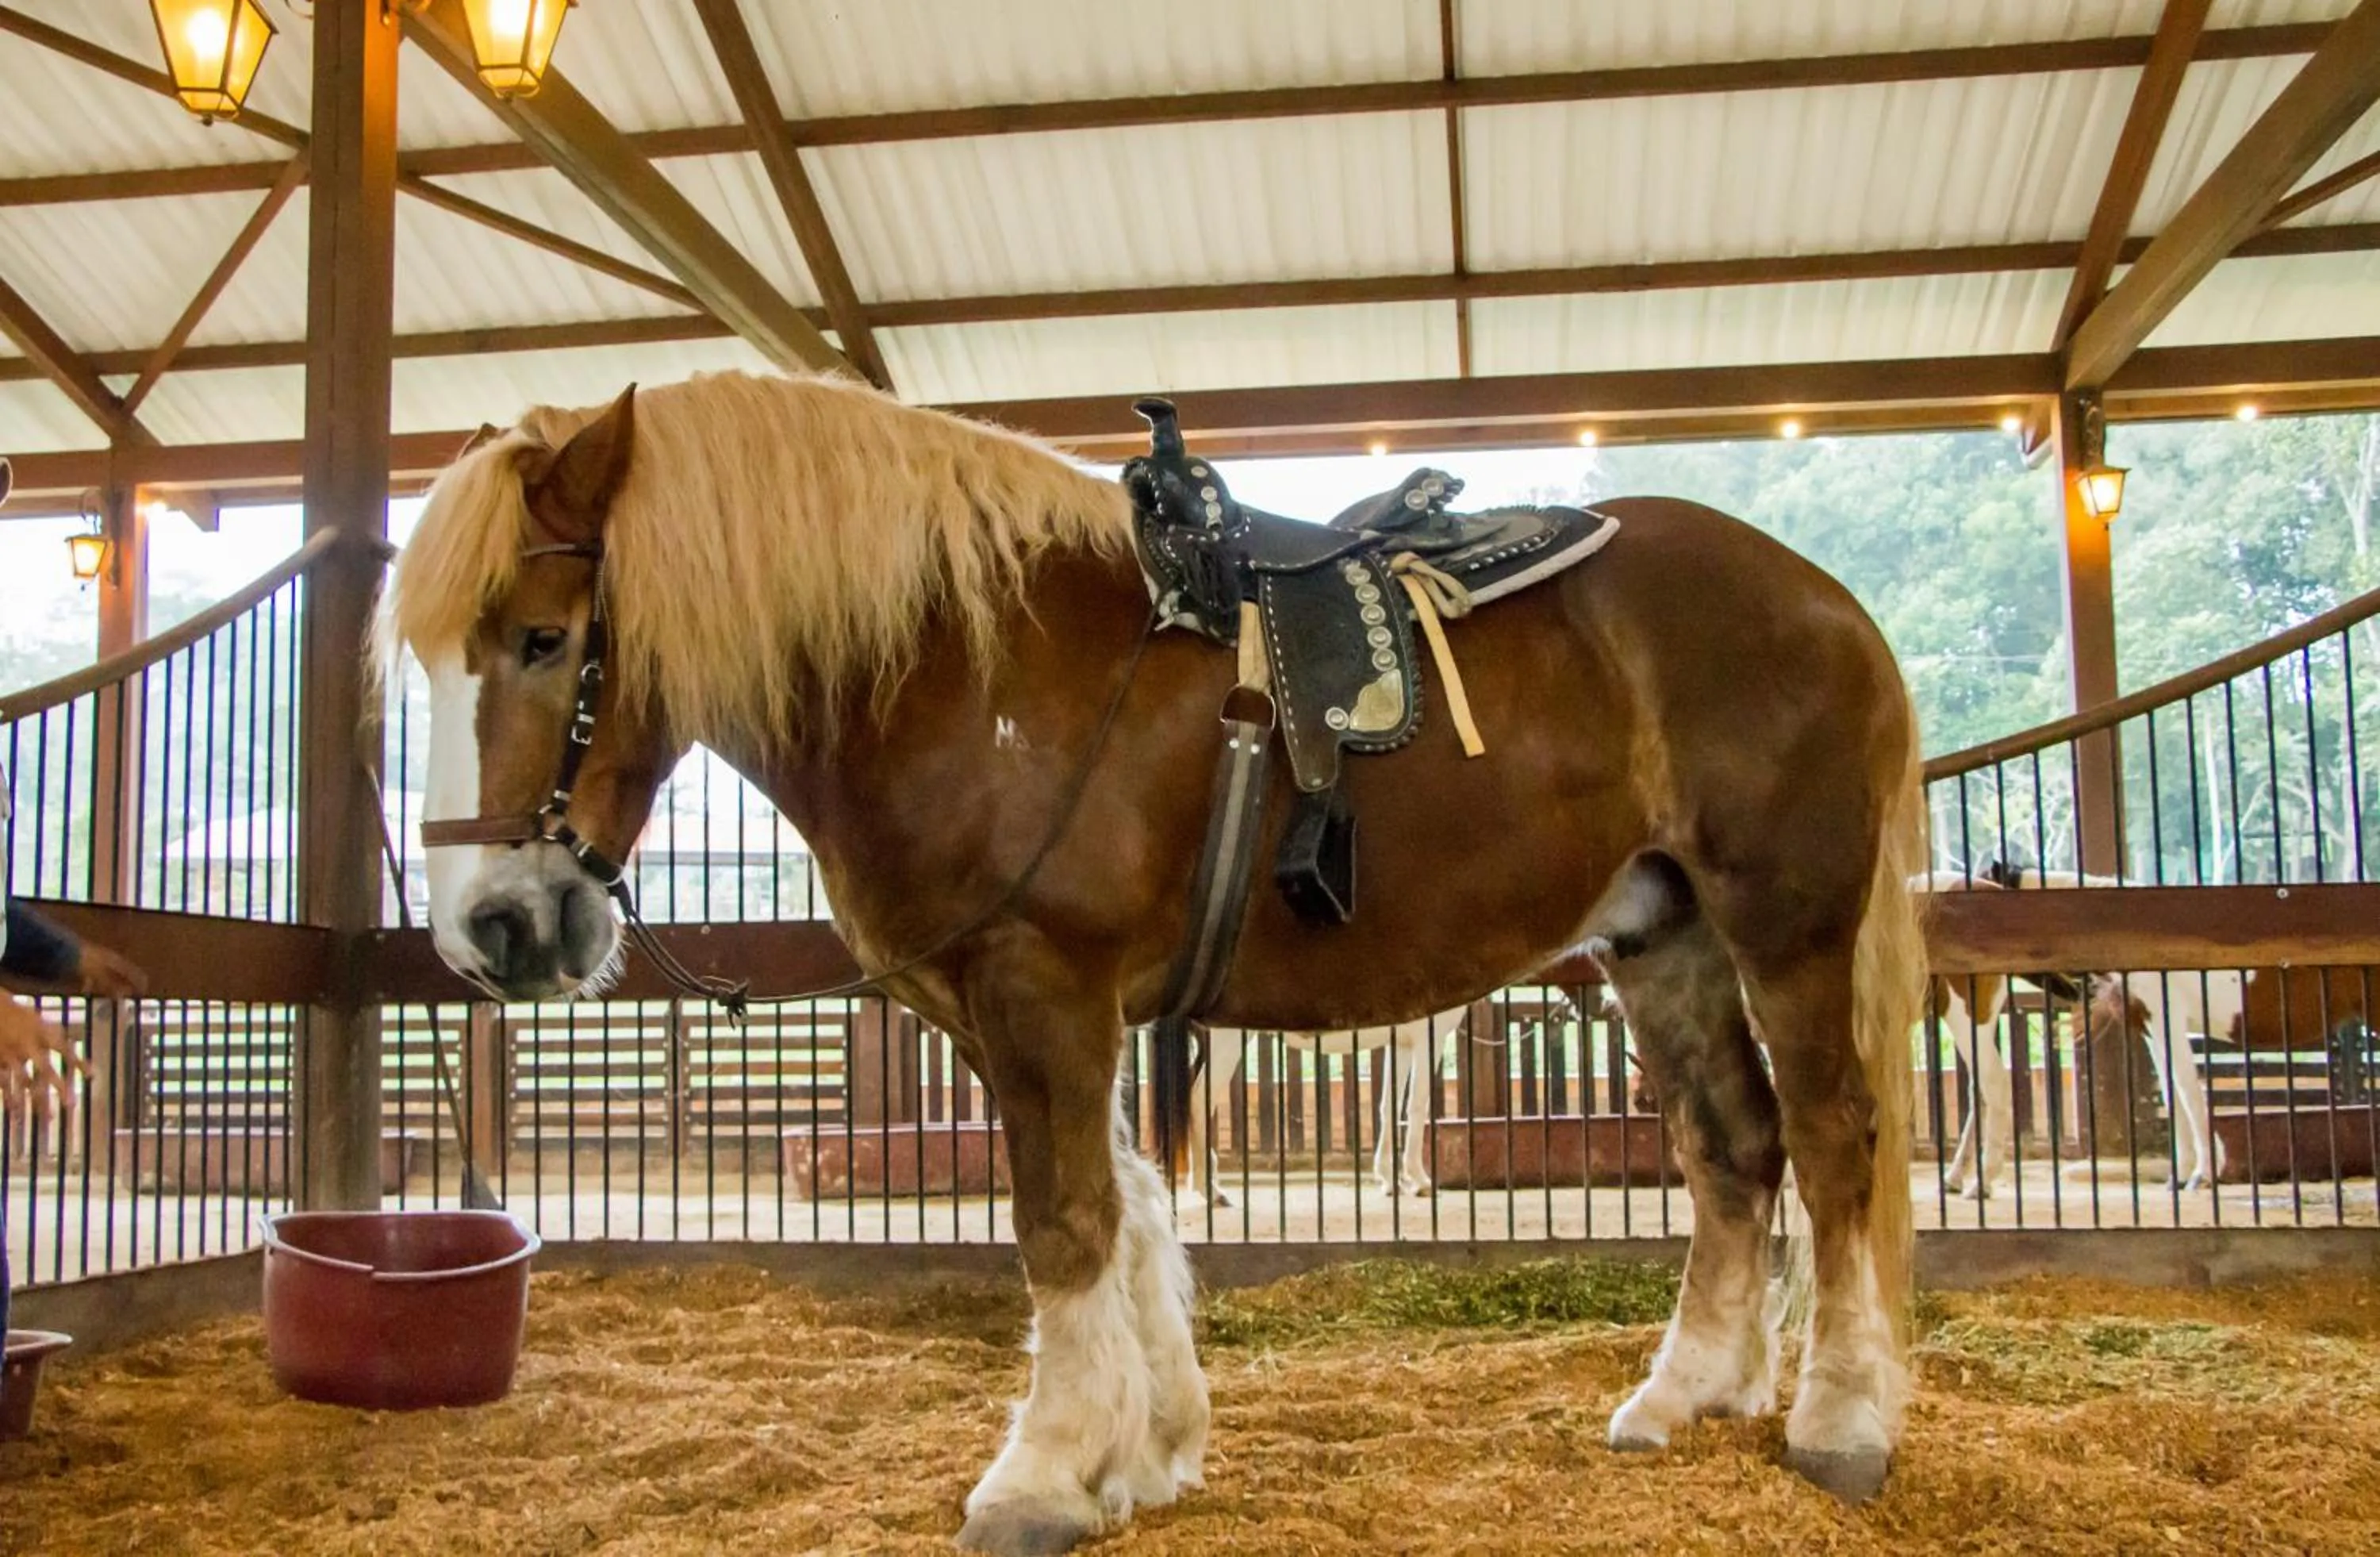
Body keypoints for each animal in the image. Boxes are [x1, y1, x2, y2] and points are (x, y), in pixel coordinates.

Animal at [1184, 1007, 1466, 1206]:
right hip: (1225, 1040)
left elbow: (1390, 1107)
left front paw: (1389, 1179)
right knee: (1199, 1102)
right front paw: (1421, 1182)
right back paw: (1211, 1191)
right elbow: (1417, 1107)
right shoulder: (1428, 1037)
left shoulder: (1401, 1043)